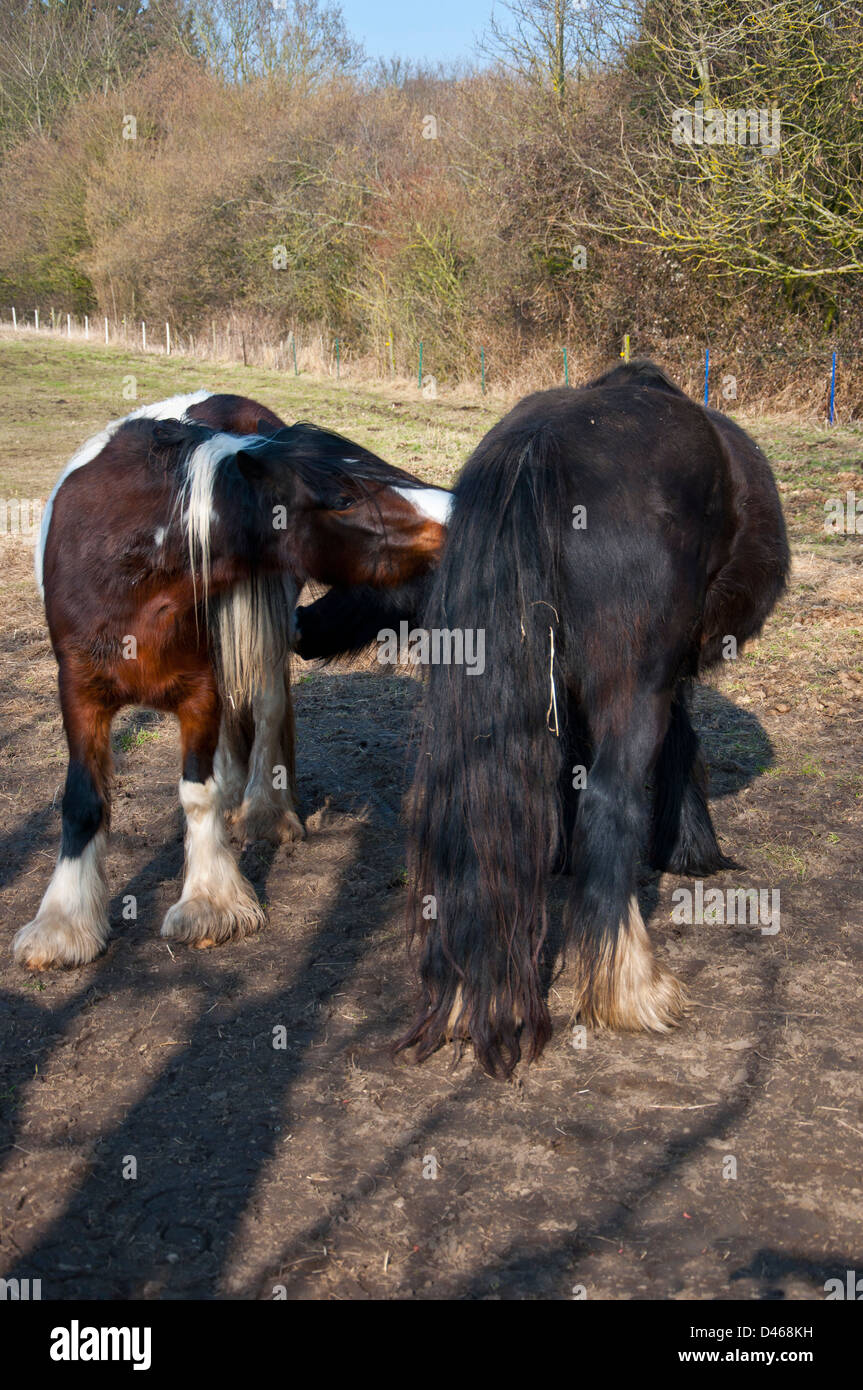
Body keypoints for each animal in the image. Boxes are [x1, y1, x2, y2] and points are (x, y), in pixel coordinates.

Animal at [15, 391, 450, 967]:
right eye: (342, 498)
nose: (458, 509)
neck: (129, 572)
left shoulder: (198, 691)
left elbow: (199, 794)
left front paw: (210, 903)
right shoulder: (79, 694)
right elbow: (83, 802)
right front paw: (62, 924)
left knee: (264, 712)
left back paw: (264, 812)